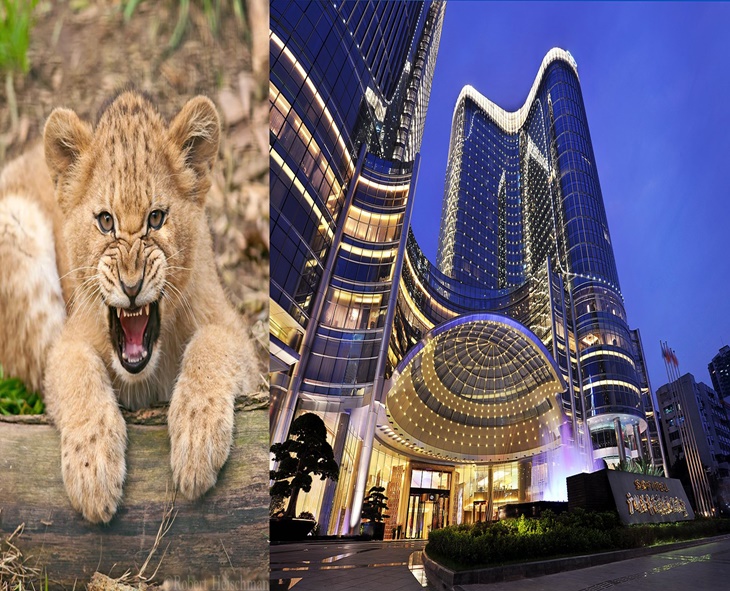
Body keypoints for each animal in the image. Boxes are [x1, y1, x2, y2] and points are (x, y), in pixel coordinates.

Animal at [0, 91, 255, 523]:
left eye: (156, 218)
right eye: (106, 221)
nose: (132, 286)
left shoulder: (236, 335)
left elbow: (212, 345)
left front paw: (197, 439)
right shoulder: (67, 343)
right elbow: (77, 373)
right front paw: (93, 470)